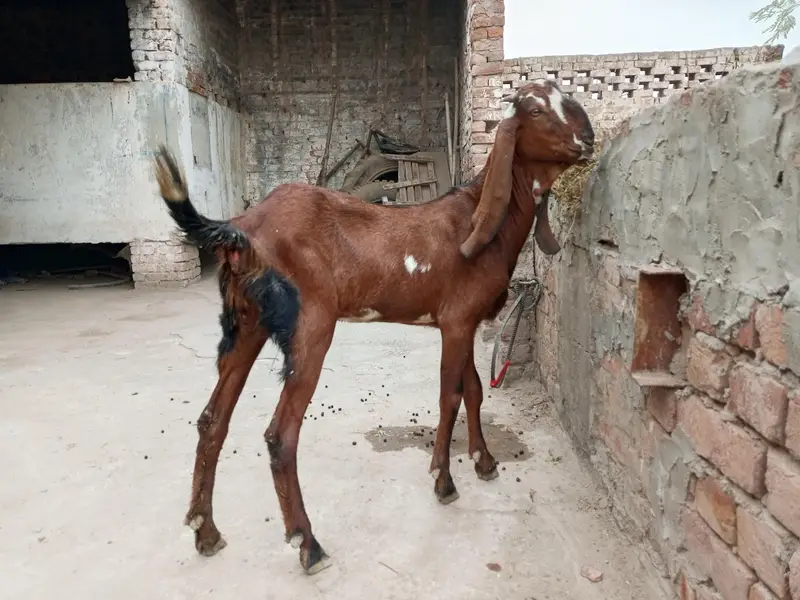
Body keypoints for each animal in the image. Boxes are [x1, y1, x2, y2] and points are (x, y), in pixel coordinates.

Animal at [153, 80, 594, 575]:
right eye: (535, 111)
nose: (589, 138)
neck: (480, 221)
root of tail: (240, 228)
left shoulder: (461, 322)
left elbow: (475, 390)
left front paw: (484, 462)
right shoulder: (457, 321)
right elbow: (450, 396)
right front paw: (444, 481)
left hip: (246, 324)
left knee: (213, 420)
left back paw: (205, 532)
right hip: (310, 326)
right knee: (280, 435)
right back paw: (309, 544)